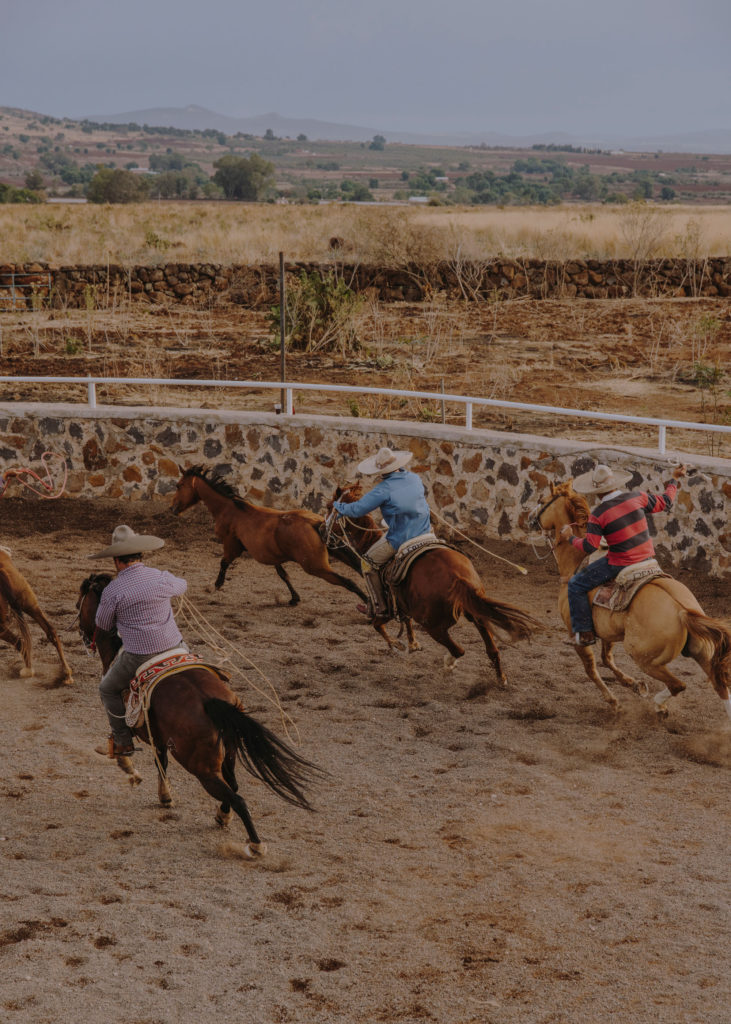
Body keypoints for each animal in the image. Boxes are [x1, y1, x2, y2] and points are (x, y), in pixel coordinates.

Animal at [76, 577, 321, 856]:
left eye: (80, 600)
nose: (82, 632)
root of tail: (209, 701)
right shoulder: (158, 738)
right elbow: (161, 763)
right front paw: (165, 796)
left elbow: (131, 748)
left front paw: (130, 769)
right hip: (228, 754)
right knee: (233, 786)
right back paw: (222, 817)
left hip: (201, 768)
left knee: (237, 797)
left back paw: (255, 844)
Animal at [168, 466, 364, 606]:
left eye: (179, 485)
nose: (172, 508)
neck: (230, 509)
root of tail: (315, 523)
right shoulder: (272, 554)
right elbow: (283, 574)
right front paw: (294, 598)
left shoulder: (232, 545)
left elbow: (223, 562)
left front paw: (216, 585)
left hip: (315, 566)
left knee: (348, 582)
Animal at [327, 481, 536, 688]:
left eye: (330, 507)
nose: (324, 531)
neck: (370, 541)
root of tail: (459, 578)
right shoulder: (403, 604)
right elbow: (405, 620)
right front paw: (412, 644)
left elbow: (378, 625)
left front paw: (398, 644)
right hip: (478, 615)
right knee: (492, 651)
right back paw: (501, 679)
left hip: (433, 626)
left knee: (458, 650)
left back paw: (449, 664)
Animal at [528, 479, 728, 720]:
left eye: (541, 501)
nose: (529, 518)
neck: (574, 565)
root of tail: (683, 611)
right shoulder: (608, 632)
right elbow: (607, 659)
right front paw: (634, 684)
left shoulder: (577, 634)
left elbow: (591, 669)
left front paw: (614, 701)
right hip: (702, 652)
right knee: (720, 684)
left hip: (644, 657)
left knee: (678, 685)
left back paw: (658, 706)